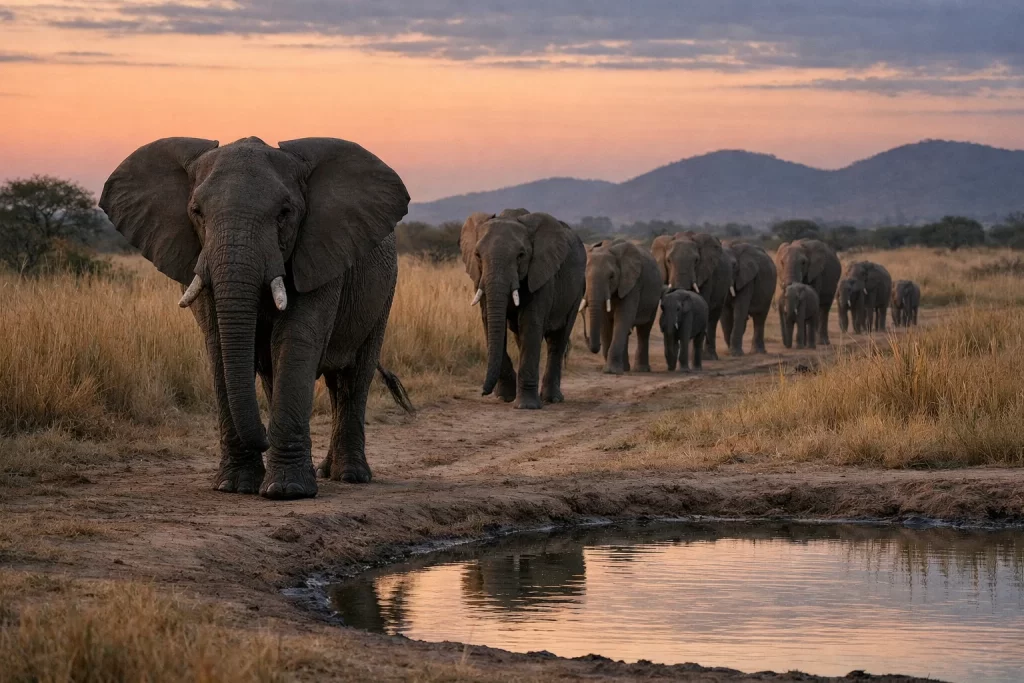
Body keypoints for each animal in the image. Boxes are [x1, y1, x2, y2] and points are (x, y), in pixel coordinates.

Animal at [100, 136, 412, 500]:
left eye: (285, 213)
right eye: (196, 212)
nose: (264, 434)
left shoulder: (318, 253)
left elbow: (295, 340)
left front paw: (287, 491)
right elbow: (219, 345)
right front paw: (234, 486)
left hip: (384, 292)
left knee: (352, 378)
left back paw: (350, 476)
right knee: (303, 382)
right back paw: (323, 471)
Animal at [459, 209, 586, 408]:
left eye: (520, 255)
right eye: (478, 255)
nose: (483, 392)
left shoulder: (542, 274)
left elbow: (530, 323)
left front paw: (526, 406)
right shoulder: (479, 277)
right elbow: (489, 321)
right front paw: (504, 397)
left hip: (577, 291)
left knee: (558, 340)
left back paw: (552, 399)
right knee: (521, 337)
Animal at [582, 240, 663, 374]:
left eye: (611, 277)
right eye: (584, 276)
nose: (588, 340)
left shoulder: (633, 284)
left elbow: (623, 318)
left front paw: (611, 371)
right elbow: (605, 322)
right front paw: (610, 369)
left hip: (654, 298)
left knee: (644, 331)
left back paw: (641, 369)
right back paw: (625, 368)